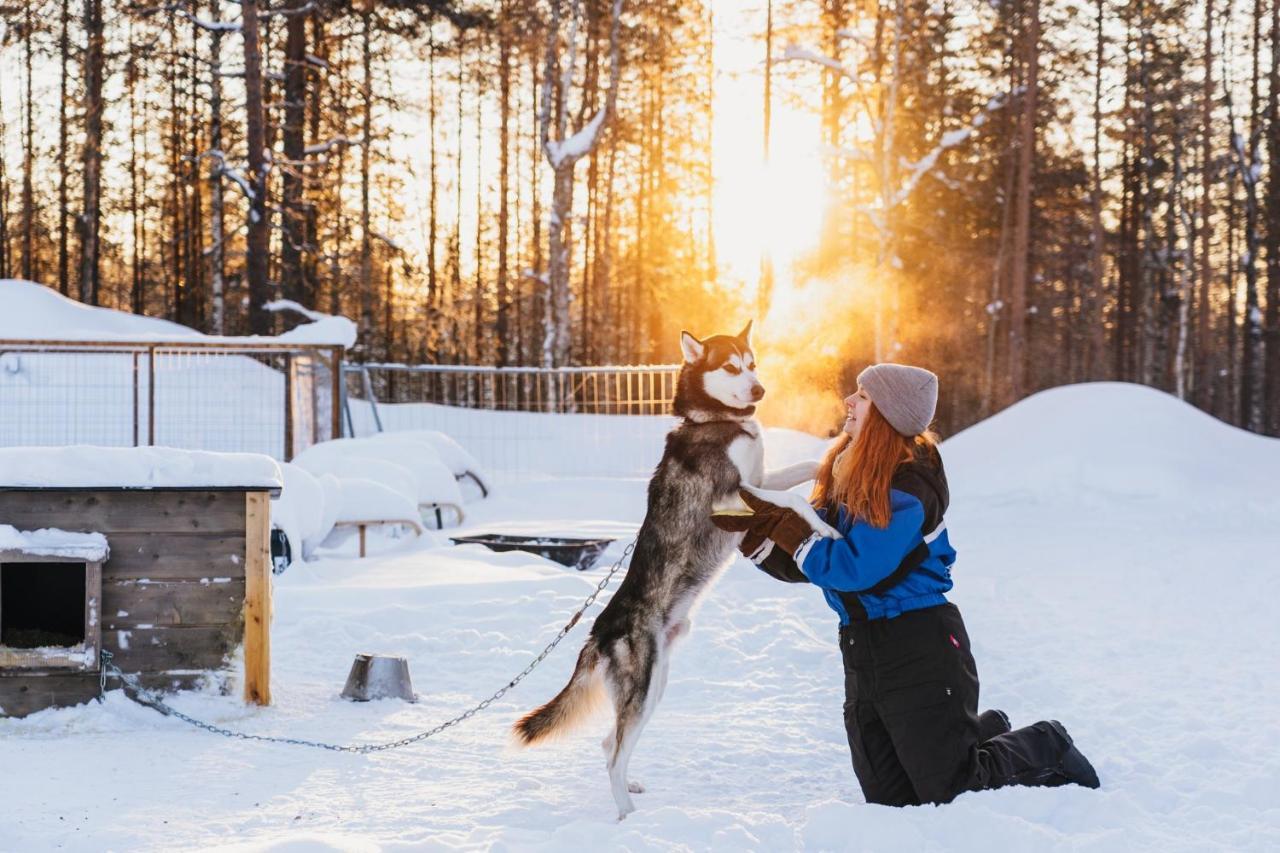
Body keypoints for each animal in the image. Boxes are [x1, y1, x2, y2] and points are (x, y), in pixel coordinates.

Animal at [509, 320, 839, 819]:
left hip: (655, 684)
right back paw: (627, 815)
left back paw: (631, 790)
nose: (760, 389)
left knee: (609, 744)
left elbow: (801, 469)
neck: (716, 421)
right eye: (730, 367)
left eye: (753, 362)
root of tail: (599, 631)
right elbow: (792, 500)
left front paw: (834, 460)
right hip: (644, 685)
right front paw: (824, 525)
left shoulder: (759, 480)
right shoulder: (732, 495)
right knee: (614, 753)